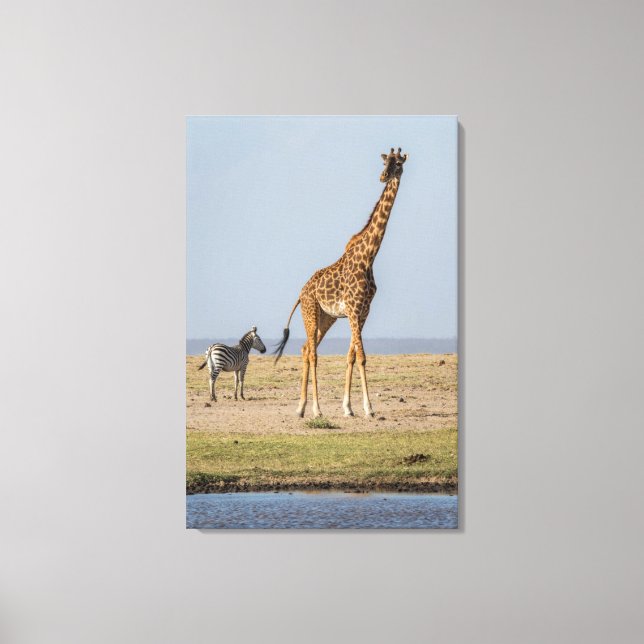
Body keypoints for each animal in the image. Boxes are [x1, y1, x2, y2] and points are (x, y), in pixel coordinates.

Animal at [274, 147, 408, 418]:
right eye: (385, 163)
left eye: (398, 163)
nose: (383, 176)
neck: (369, 256)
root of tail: (301, 293)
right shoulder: (354, 310)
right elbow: (363, 356)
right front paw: (368, 408)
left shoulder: (363, 312)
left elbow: (352, 356)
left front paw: (348, 407)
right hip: (311, 312)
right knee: (313, 353)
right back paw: (316, 409)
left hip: (327, 318)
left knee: (305, 349)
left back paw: (301, 408)